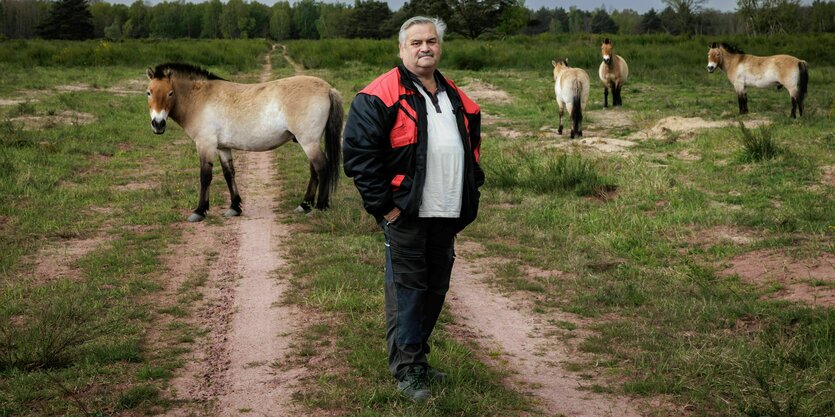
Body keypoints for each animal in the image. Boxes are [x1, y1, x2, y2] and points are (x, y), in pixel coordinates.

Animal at [145, 62, 342, 223]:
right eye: (149, 92)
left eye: (170, 93)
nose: (158, 124)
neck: (201, 99)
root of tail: (328, 88)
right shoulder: (223, 147)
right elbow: (229, 174)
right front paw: (234, 207)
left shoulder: (205, 144)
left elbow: (205, 176)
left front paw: (199, 211)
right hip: (310, 142)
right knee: (315, 171)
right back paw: (304, 205)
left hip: (308, 142)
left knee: (322, 168)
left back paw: (319, 207)